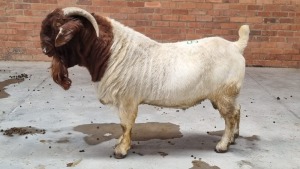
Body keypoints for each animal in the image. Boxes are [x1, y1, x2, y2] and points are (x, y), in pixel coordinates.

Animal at [40, 6, 251, 159]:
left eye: (55, 27)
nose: (44, 48)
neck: (111, 52)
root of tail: (236, 46)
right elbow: (124, 126)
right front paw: (121, 143)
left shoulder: (127, 100)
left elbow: (125, 124)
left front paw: (121, 150)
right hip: (227, 95)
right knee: (238, 110)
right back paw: (234, 138)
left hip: (224, 94)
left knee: (230, 117)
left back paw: (222, 145)